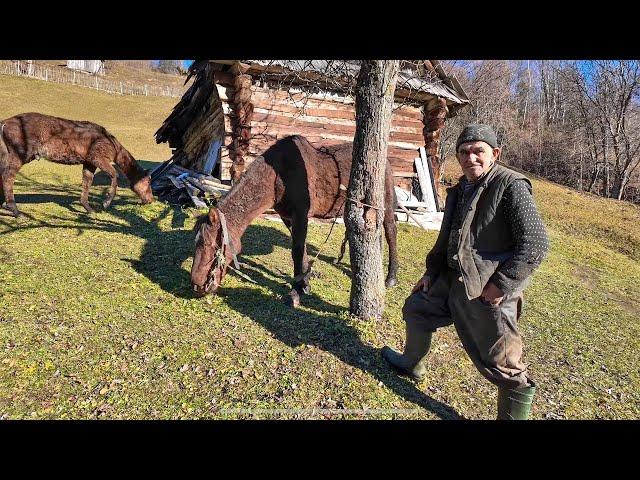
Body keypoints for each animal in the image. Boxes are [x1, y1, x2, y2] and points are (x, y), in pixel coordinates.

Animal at [0, 111, 154, 217]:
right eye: (148, 181)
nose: (150, 200)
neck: (114, 147)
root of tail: (3, 124)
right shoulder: (97, 157)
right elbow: (114, 175)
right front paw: (105, 203)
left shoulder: (89, 162)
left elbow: (87, 183)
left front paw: (89, 209)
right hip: (19, 154)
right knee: (8, 177)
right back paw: (16, 211)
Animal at [191, 135, 400, 308]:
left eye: (210, 244)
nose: (197, 286)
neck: (279, 176)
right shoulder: (288, 218)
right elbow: (302, 250)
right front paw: (305, 284)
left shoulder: (301, 215)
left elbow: (297, 252)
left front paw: (296, 293)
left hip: (385, 206)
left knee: (390, 232)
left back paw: (390, 278)